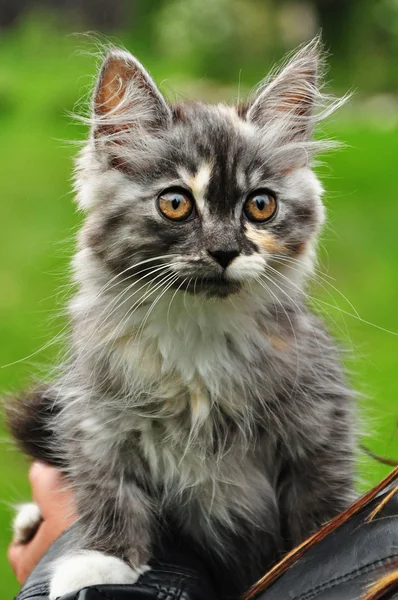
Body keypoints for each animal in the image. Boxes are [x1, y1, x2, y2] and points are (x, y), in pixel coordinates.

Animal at [7, 37, 356, 600]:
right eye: (175, 203)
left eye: (261, 206)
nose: (225, 251)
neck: (198, 327)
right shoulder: (95, 420)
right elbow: (109, 492)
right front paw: (104, 563)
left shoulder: (320, 425)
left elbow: (320, 511)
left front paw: (315, 551)